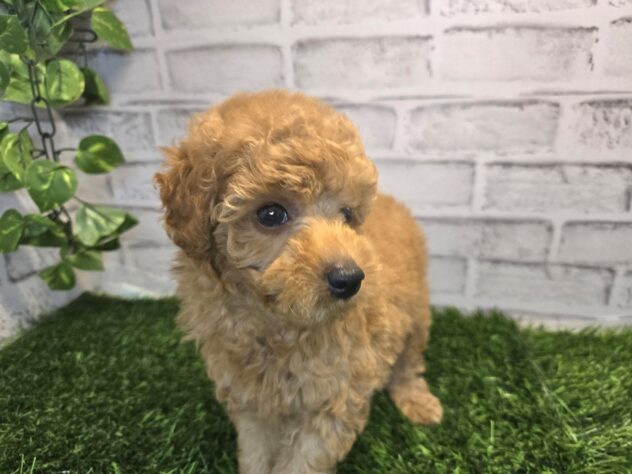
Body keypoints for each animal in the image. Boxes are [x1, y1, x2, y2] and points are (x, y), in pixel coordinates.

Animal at [155, 90, 442, 474]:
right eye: (271, 214)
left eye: (347, 215)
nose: (350, 279)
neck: (278, 325)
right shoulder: (250, 396)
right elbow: (256, 452)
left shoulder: (334, 397)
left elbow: (301, 461)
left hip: (416, 314)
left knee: (409, 362)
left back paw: (417, 401)